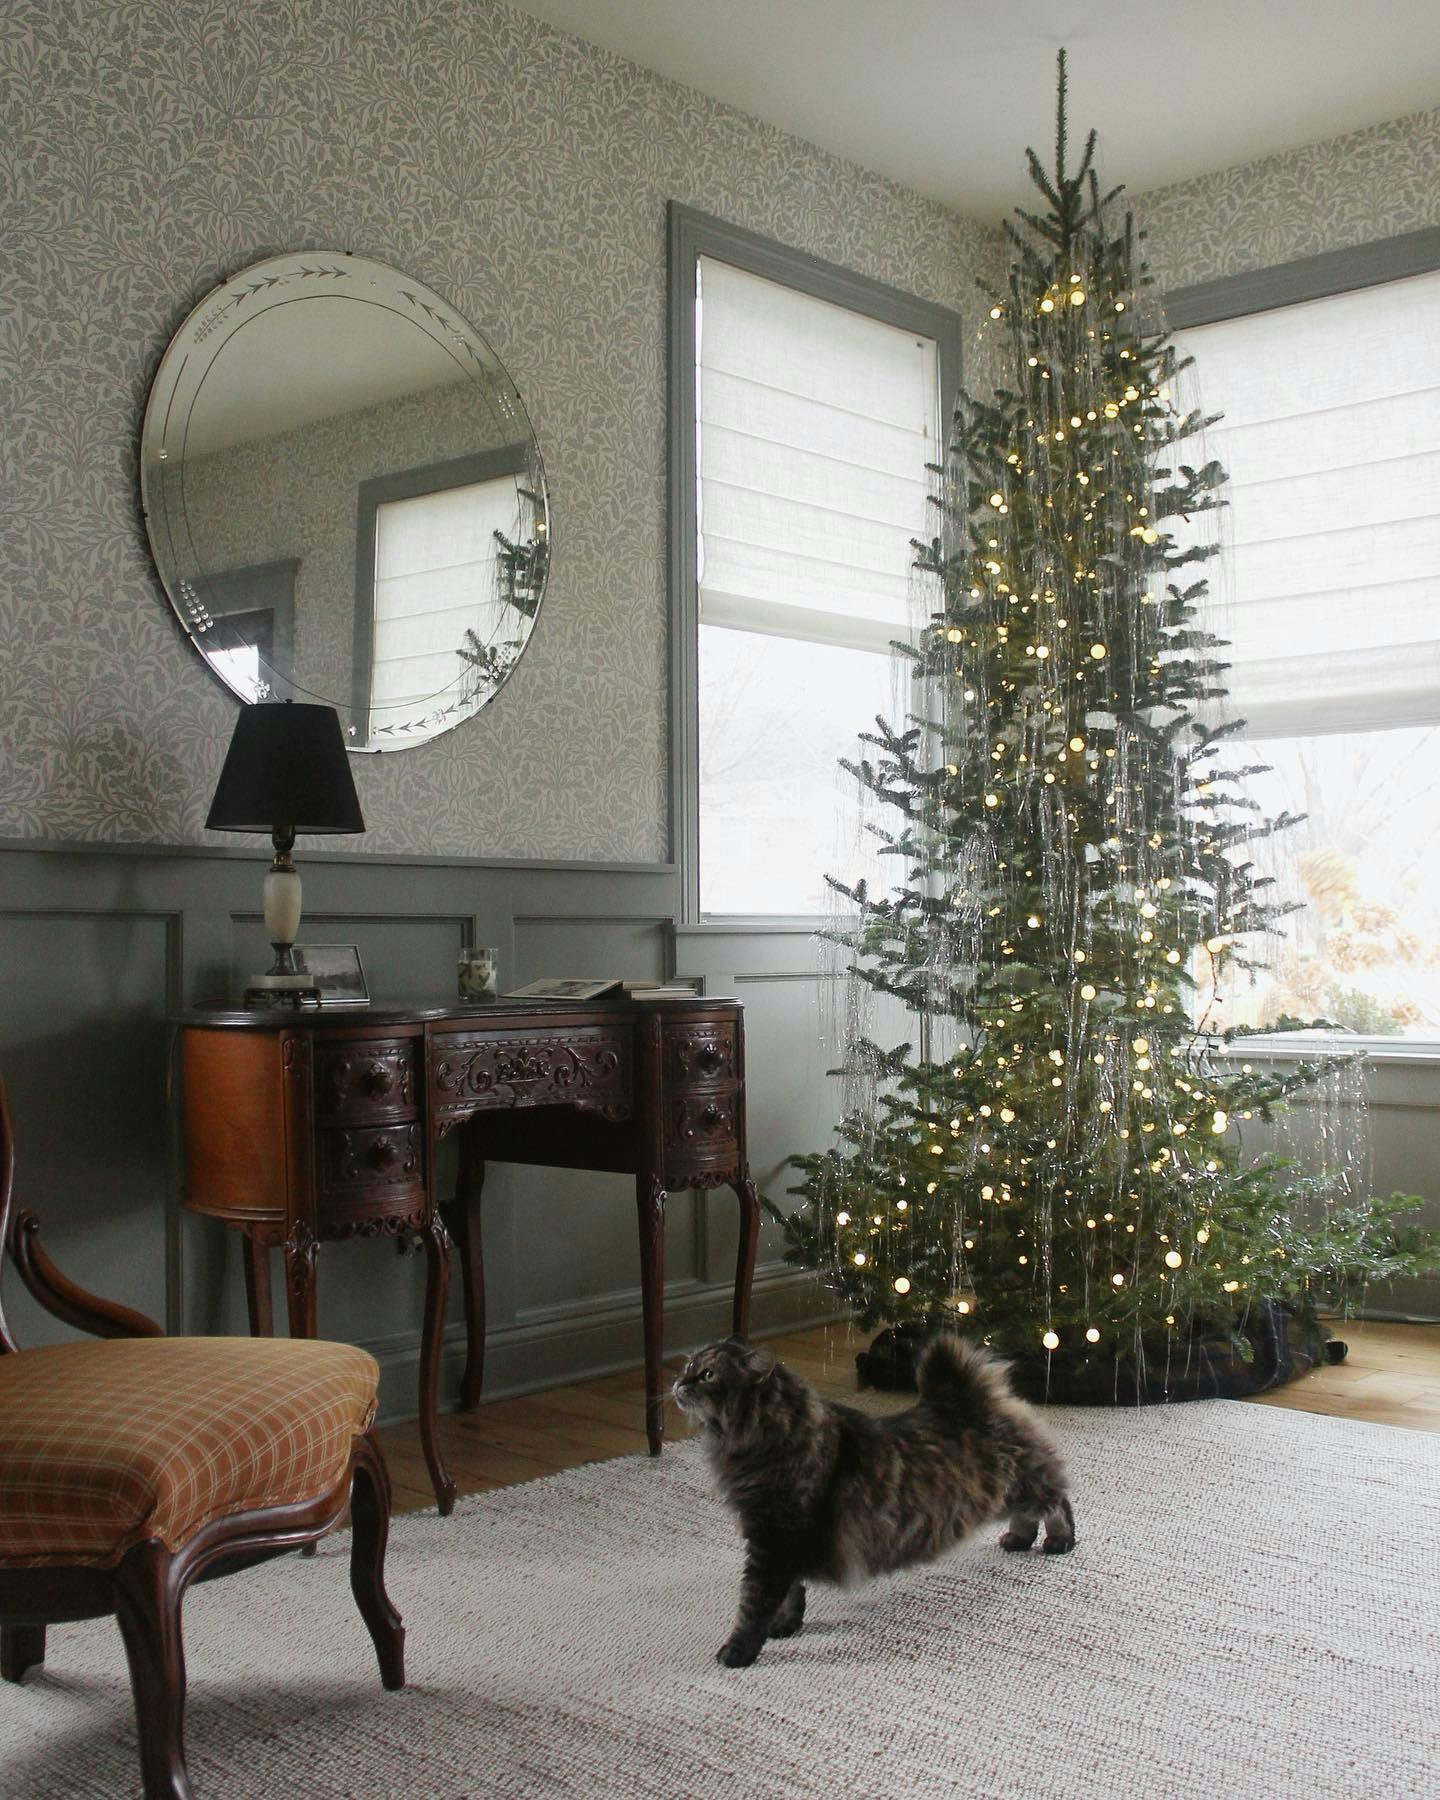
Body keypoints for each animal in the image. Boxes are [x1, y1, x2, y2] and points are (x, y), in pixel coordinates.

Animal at [673, 1332, 1065, 1663]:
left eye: (707, 1374)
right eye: (688, 1367)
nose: (678, 1382)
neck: (771, 1436)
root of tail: (964, 1400)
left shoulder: (773, 1540)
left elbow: (753, 1605)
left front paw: (738, 1652)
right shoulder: (779, 1543)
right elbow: (790, 1594)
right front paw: (785, 1626)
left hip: (1023, 1484)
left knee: (1057, 1502)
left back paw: (1059, 1541)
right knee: (1034, 1512)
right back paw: (1019, 1539)